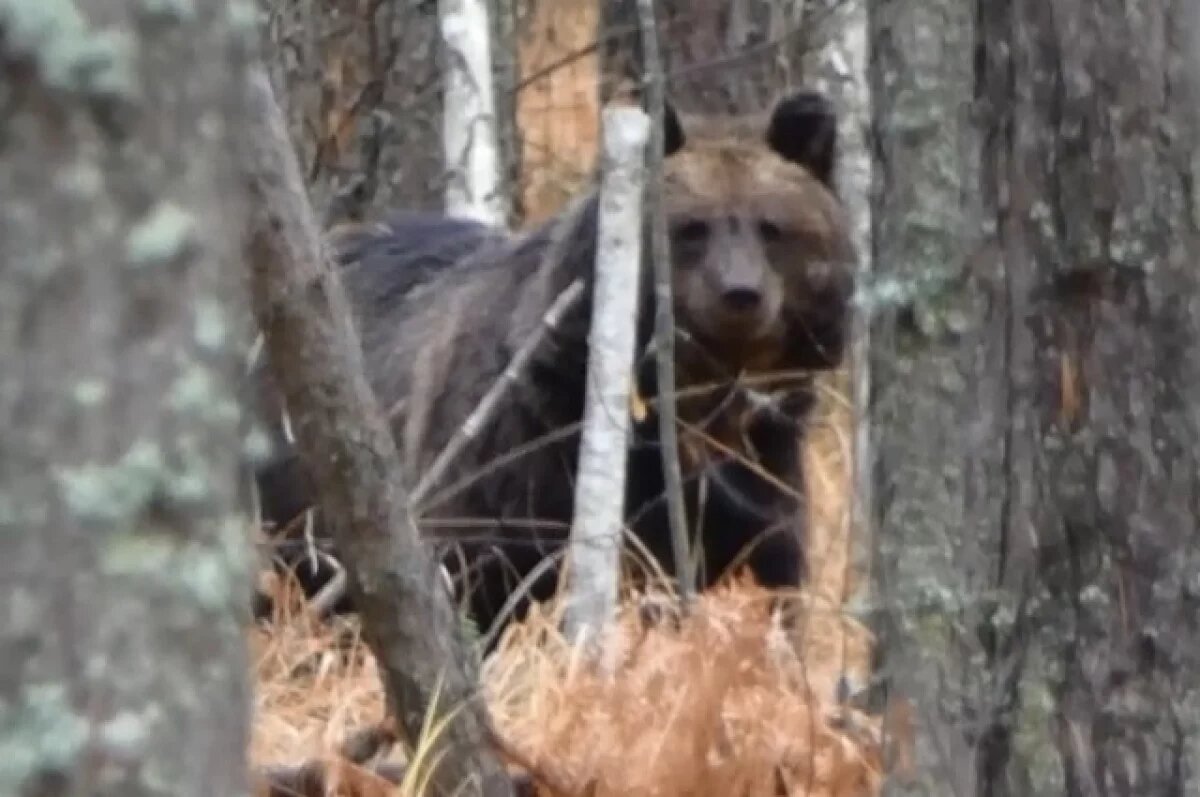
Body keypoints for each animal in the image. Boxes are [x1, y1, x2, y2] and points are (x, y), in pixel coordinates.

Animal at [248, 88, 856, 647]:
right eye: (692, 228)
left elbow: (768, 580)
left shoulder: (761, 478)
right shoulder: (515, 462)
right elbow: (484, 582)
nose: (740, 295)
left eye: (771, 226)